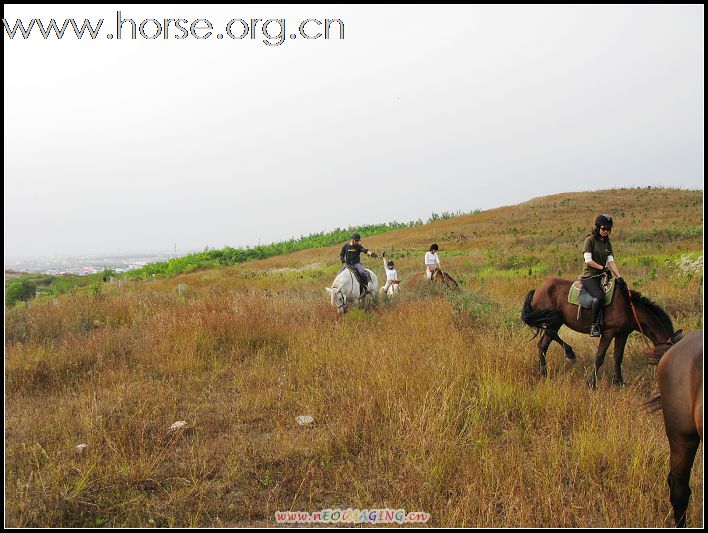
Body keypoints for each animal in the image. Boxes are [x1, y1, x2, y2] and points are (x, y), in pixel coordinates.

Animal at [520, 278, 684, 386]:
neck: (628, 308)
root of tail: (537, 289)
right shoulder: (608, 333)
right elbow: (599, 357)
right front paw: (591, 383)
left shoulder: (622, 334)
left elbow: (618, 357)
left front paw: (619, 382)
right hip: (554, 320)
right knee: (550, 337)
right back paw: (569, 353)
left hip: (553, 321)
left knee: (543, 344)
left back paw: (544, 373)